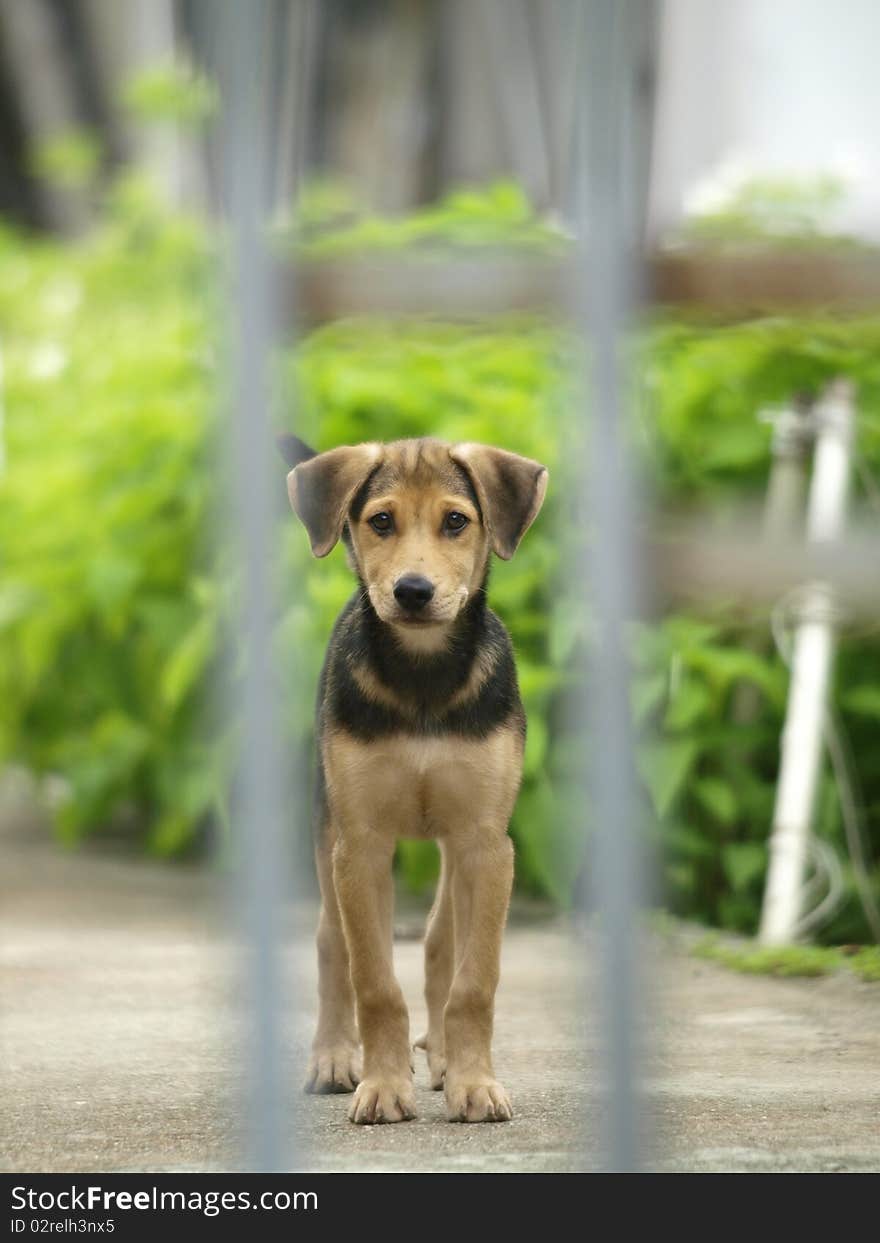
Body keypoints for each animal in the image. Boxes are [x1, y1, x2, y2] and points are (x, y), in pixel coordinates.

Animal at [278, 437, 546, 1128]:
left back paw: (446, 1058)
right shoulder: (361, 845)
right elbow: (373, 981)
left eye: (456, 521)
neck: (424, 677)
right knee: (331, 942)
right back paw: (334, 1057)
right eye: (380, 521)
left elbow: (474, 980)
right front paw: (382, 1087)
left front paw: (474, 1083)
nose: (414, 591)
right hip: (326, 829)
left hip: (456, 846)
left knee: (438, 944)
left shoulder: (486, 843)